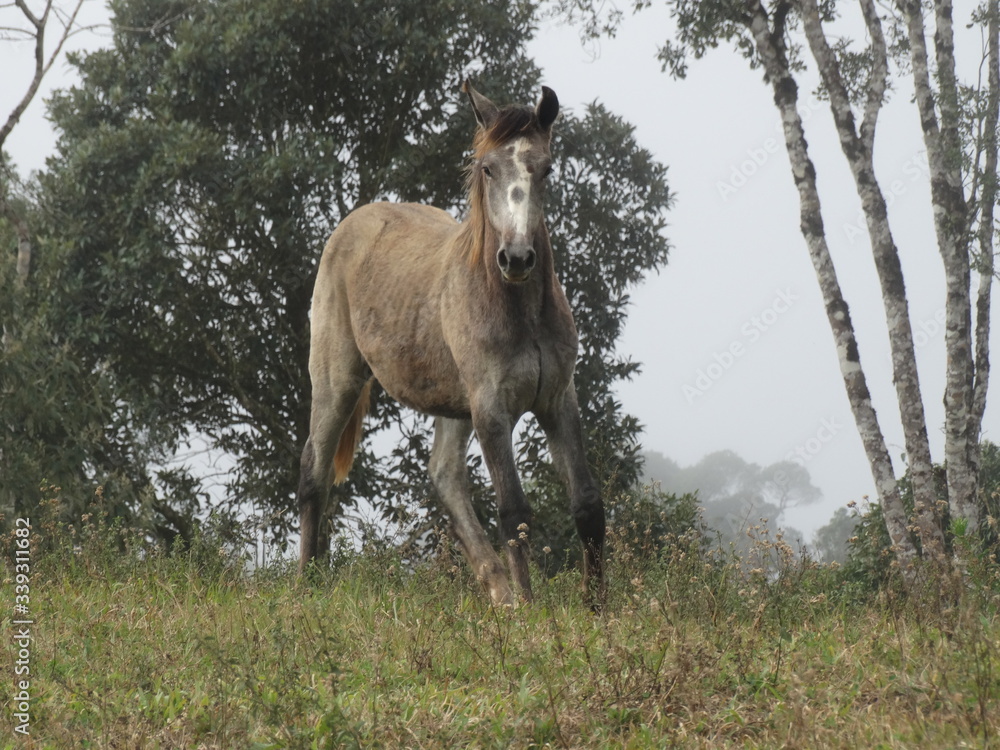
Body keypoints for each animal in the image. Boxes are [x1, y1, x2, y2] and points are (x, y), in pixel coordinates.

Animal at [297, 81, 605, 607]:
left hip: (454, 406)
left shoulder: (558, 399)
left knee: (445, 477)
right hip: (338, 381)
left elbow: (586, 503)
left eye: (545, 168)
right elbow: (514, 512)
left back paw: (498, 592)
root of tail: (353, 223)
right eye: (488, 168)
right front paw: (532, 611)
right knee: (313, 472)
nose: (517, 258)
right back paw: (305, 587)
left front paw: (598, 606)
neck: (519, 311)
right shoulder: (491, 409)